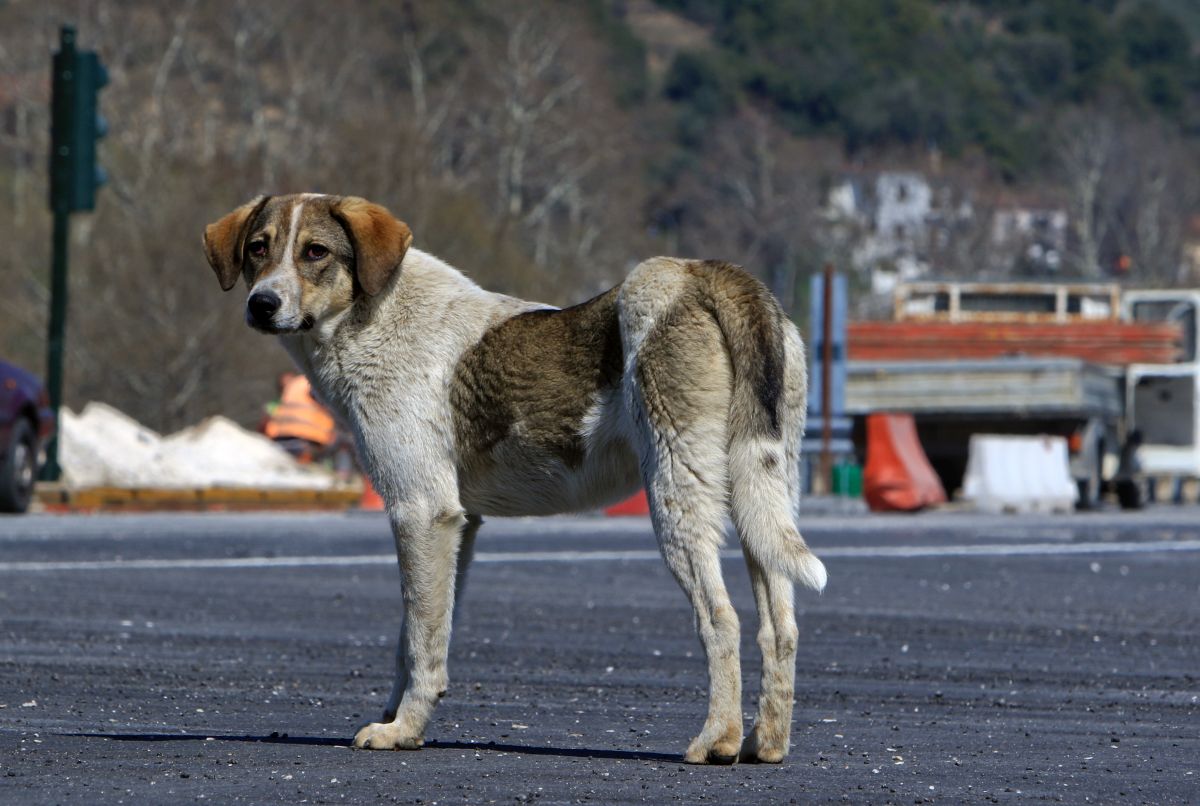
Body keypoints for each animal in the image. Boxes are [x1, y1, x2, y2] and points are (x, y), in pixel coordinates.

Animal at [206, 193, 825, 762]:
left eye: (316, 252)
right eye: (258, 248)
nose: (262, 304)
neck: (372, 314)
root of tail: (705, 274)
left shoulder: (420, 513)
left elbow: (423, 641)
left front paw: (402, 729)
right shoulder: (456, 527)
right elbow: (417, 635)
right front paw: (399, 717)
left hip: (677, 496)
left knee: (721, 618)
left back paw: (716, 740)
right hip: (760, 495)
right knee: (780, 628)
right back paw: (766, 743)